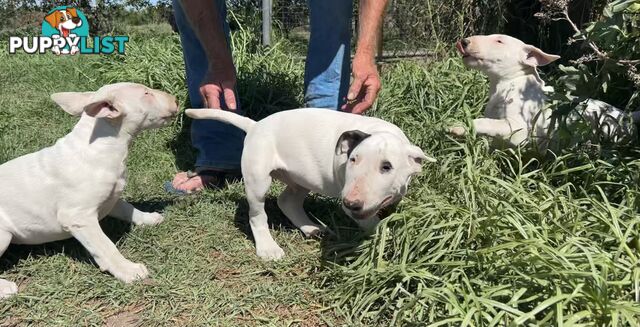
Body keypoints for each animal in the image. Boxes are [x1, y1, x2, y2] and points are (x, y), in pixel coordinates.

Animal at [0, 82, 179, 300]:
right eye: (146, 93)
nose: (176, 100)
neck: (103, 147)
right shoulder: (78, 217)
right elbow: (105, 246)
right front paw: (129, 270)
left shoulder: (112, 197)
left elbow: (128, 209)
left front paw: (149, 218)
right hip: (3, 234)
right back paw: (5, 288)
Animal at [185, 109, 436, 262]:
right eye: (353, 160)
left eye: (387, 167)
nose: (350, 203)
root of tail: (255, 126)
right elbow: (375, 224)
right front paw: (388, 237)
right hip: (258, 179)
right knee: (257, 215)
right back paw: (268, 247)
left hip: (301, 178)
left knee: (287, 201)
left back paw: (311, 228)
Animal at [448, 33, 636, 149]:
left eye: (499, 41)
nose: (463, 42)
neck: (506, 84)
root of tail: (629, 117)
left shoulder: (520, 130)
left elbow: (489, 123)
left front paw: (459, 128)